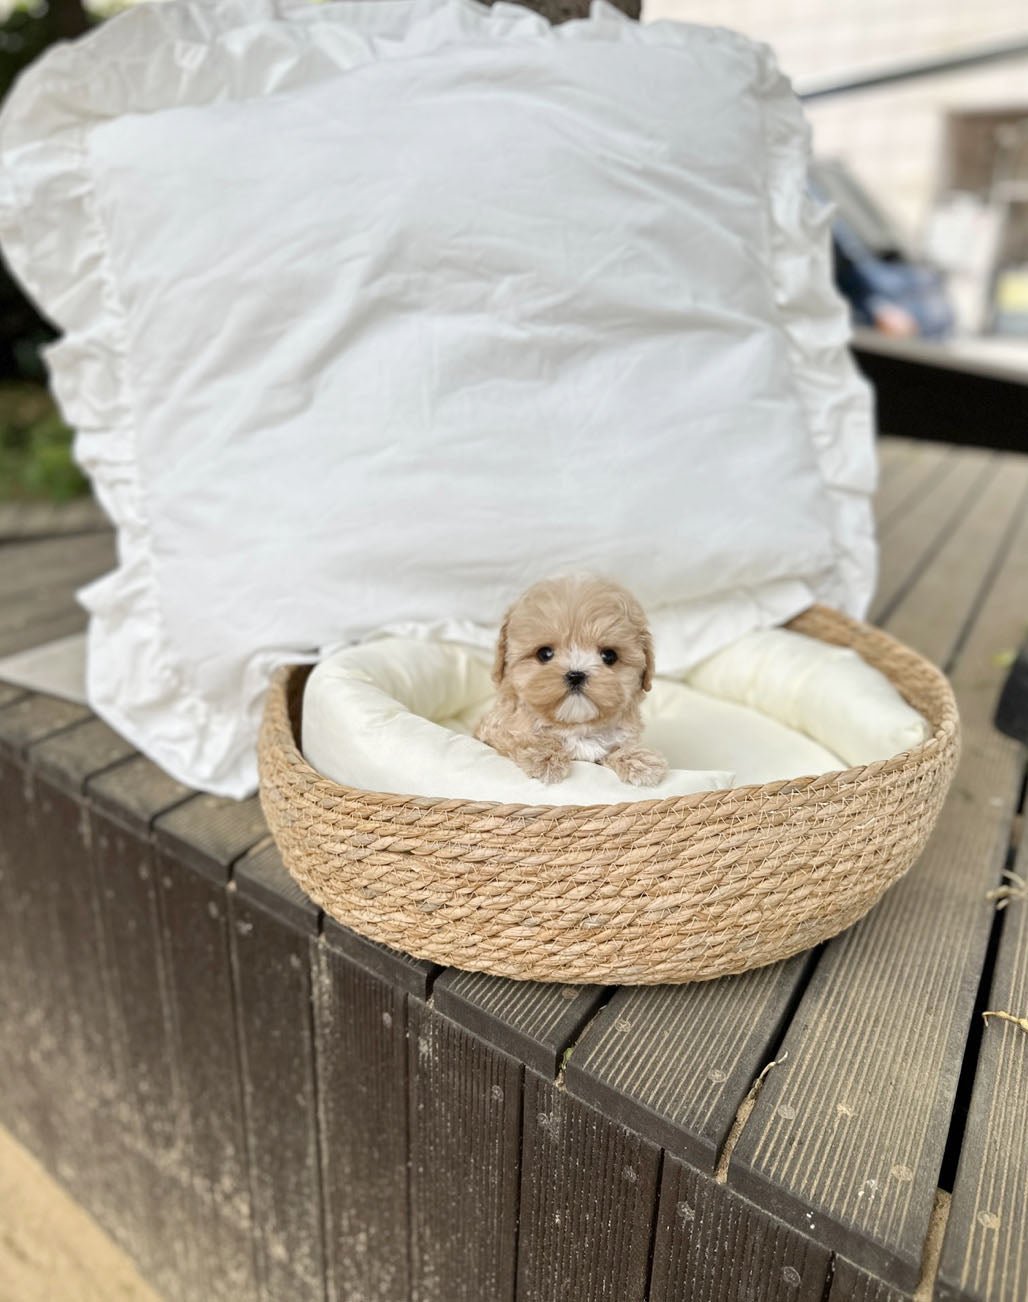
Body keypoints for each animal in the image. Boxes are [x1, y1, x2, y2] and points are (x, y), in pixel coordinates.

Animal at [478, 578, 671, 781]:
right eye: (544, 654)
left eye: (609, 656)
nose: (576, 675)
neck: (576, 728)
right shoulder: (494, 731)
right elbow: (516, 738)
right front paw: (542, 755)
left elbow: (616, 749)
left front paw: (639, 760)